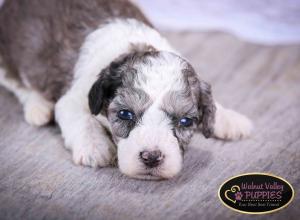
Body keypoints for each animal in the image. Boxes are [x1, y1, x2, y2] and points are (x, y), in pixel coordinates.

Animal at [0, 0, 253, 180]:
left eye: (185, 121)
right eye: (125, 114)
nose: (152, 157)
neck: (132, 45)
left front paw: (228, 119)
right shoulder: (73, 98)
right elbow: (82, 119)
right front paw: (95, 147)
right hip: (9, 55)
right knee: (15, 82)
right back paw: (38, 107)